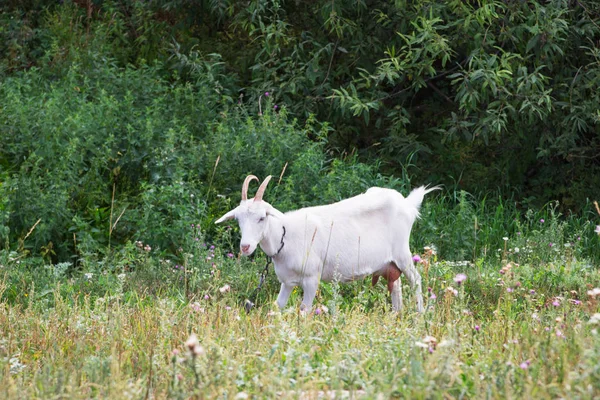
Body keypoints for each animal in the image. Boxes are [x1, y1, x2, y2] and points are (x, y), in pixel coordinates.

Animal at [216, 176, 436, 312]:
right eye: (238, 219)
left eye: (262, 217)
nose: (245, 247)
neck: (285, 237)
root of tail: (407, 204)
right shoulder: (287, 282)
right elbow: (278, 306)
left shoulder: (312, 278)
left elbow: (304, 310)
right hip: (388, 262)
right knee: (396, 285)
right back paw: (396, 314)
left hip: (402, 252)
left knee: (416, 280)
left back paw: (420, 315)